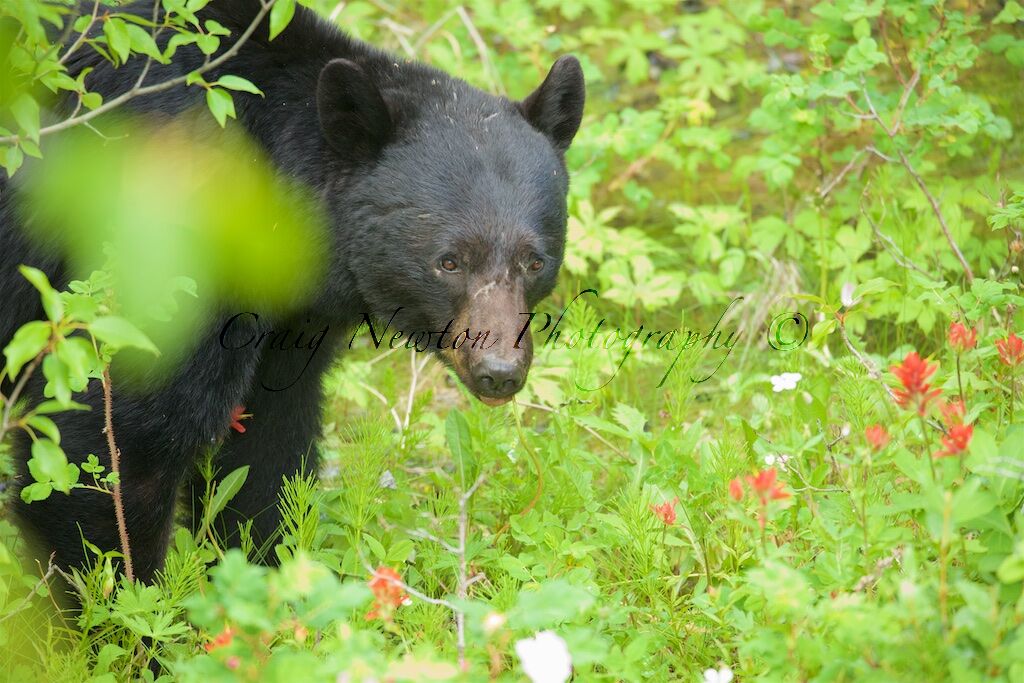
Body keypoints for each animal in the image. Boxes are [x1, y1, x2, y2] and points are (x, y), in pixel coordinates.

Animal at [0, 0, 584, 582]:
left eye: (535, 261)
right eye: (449, 262)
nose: (499, 372)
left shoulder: (290, 322)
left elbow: (267, 446)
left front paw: (264, 574)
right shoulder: (167, 240)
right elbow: (111, 437)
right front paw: (126, 599)